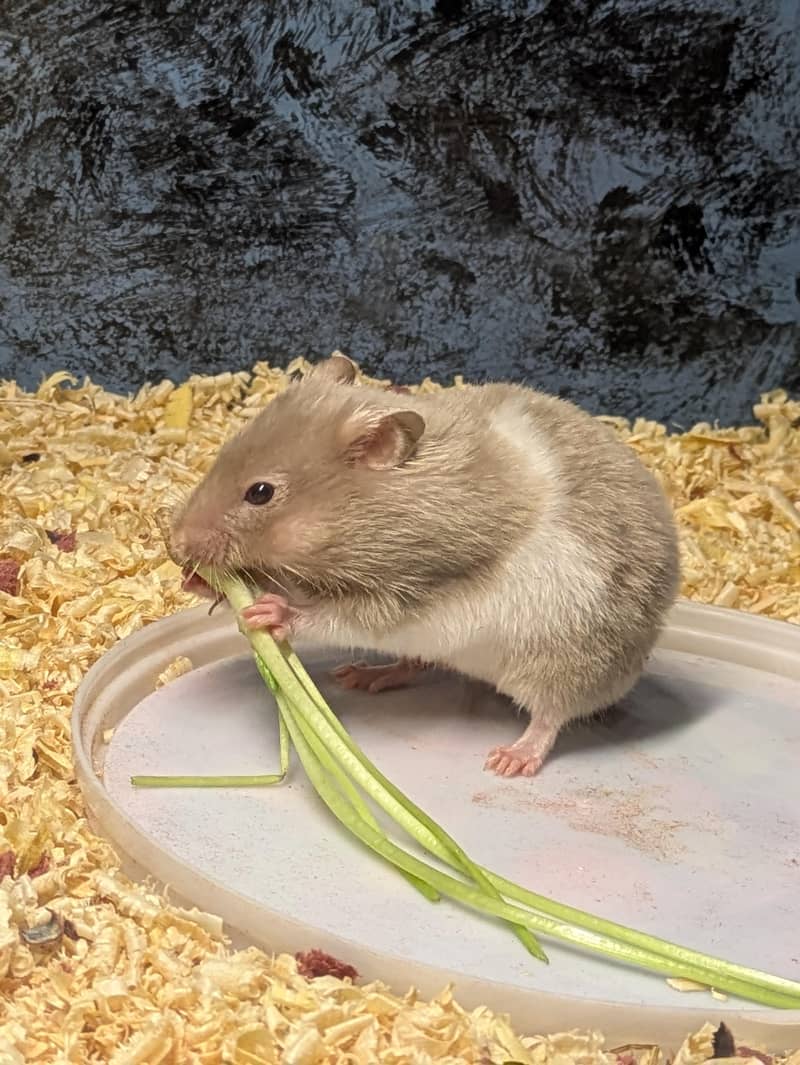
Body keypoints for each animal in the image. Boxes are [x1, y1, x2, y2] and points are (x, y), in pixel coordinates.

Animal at [170, 353, 680, 778]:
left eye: (261, 493)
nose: (176, 545)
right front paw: (198, 581)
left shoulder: (412, 593)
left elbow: (335, 615)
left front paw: (266, 612)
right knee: (413, 663)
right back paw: (362, 676)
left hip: (563, 662)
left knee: (551, 715)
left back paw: (509, 762)